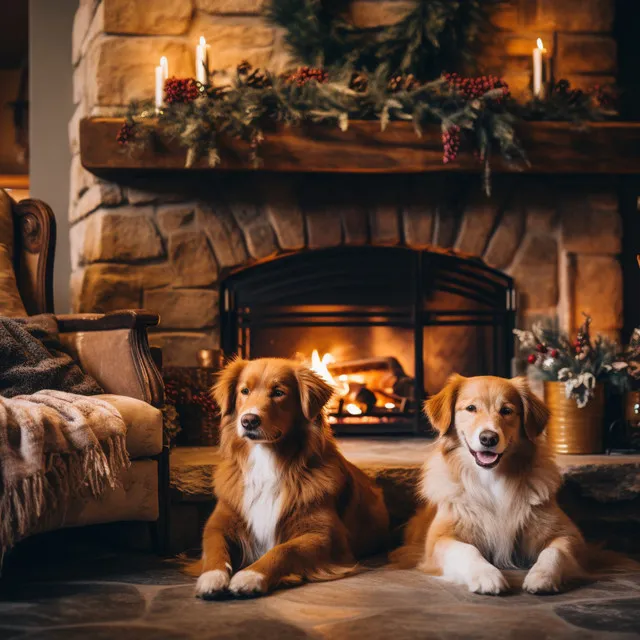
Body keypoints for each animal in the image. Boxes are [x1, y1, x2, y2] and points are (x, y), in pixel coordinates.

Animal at [191, 358, 390, 596]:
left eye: (278, 392)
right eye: (244, 391)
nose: (248, 421)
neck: (266, 460)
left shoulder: (325, 535)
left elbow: (285, 549)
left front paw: (251, 575)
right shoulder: (218, 522)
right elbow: (214, 545)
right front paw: (212, 576)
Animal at [392, 376, 592, 596]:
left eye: (506, 410)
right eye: (471, 408)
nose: (488, 438)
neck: (491, 479)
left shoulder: (571, 535)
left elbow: (554, 551)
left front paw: (542, 576)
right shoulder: (438, 540)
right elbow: (467, 550)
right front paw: (486, 575)